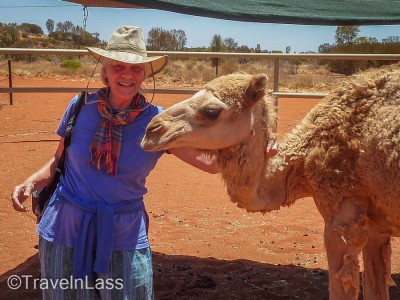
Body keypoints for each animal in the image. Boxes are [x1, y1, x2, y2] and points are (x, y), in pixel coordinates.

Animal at [141, 68, 400, 300]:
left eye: (212, 111)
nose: (151, 130)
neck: (305, 159)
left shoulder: (343, 217)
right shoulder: (376, 227)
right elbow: (376, 288)